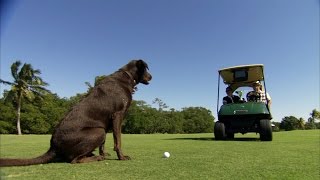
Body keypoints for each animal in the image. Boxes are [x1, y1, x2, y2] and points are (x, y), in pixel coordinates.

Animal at [0, 59, 152, 167]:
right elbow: (118, 141)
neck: (126, 77)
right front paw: (121, 157)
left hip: (100, 129)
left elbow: (104, 144)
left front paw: (105, 152)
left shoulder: (108, 121)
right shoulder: (117, 115)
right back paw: (97, 157)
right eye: (146, 69)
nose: (151, 77)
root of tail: (53, 146)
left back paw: (95, 155)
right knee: (75, 160)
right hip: (98, 131)